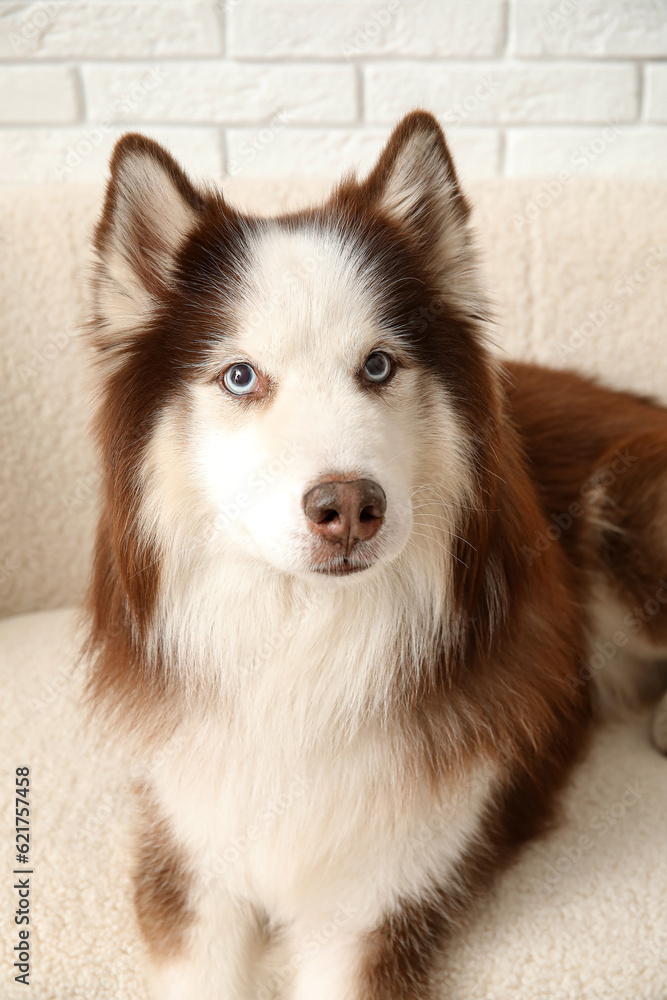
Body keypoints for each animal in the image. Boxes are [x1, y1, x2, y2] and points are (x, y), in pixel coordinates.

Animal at [85, 111, 667, 1000]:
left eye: (378, 364)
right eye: (241, 376)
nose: (349, 508)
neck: (304, 642)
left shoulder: (378, 903)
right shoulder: (186, 859)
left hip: (623, 505)